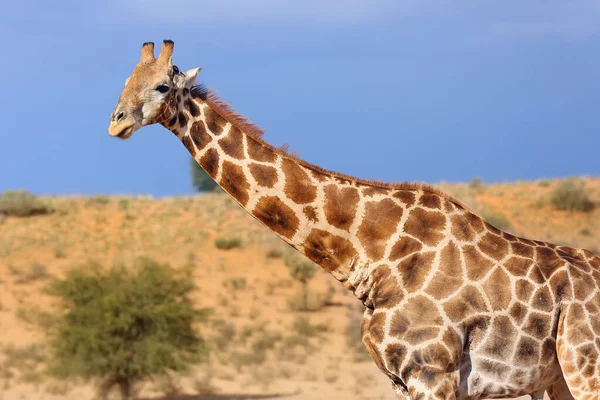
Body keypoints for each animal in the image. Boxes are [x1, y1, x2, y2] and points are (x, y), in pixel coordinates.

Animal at [109, 40, 600, 400]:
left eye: (161, 87)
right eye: (126, 81)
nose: (116, 122)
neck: (373, 253)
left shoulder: (433, 372)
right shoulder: (404, 379)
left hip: (583, 365)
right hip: (555, 379)